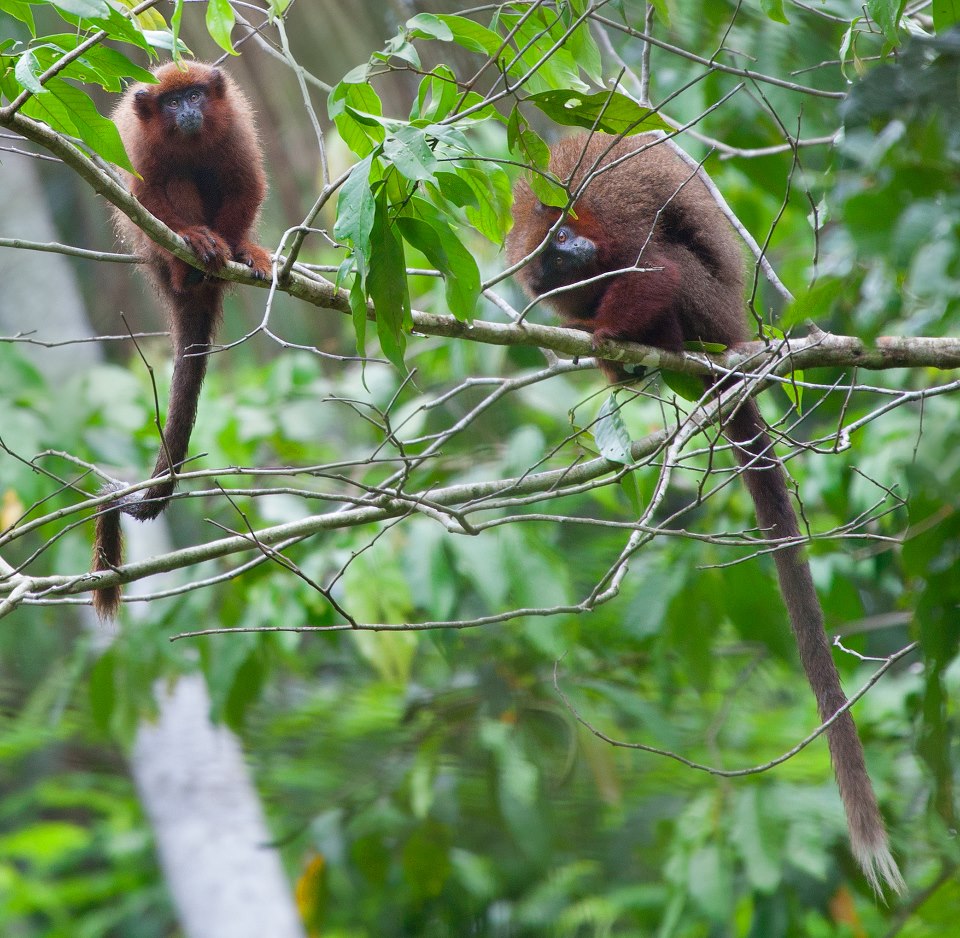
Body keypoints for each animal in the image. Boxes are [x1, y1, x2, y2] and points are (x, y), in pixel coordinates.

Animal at [92, 62, 272, 616]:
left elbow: (245, 183)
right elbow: (146, 195)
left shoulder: (234, 128)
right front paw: (195, 237)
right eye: (172, 103)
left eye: (195, 95)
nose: (188, 110)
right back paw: (188, 266)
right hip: (155, 255)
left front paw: (239, 246)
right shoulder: (137, 147)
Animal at [506, 132, 904, 892]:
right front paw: (602, 342)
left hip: (715, 312)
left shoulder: (607, 219)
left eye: (565, 246)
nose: (575, 259)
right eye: (556, 269)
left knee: (677, 267)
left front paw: (608, 330)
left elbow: (657, 268)